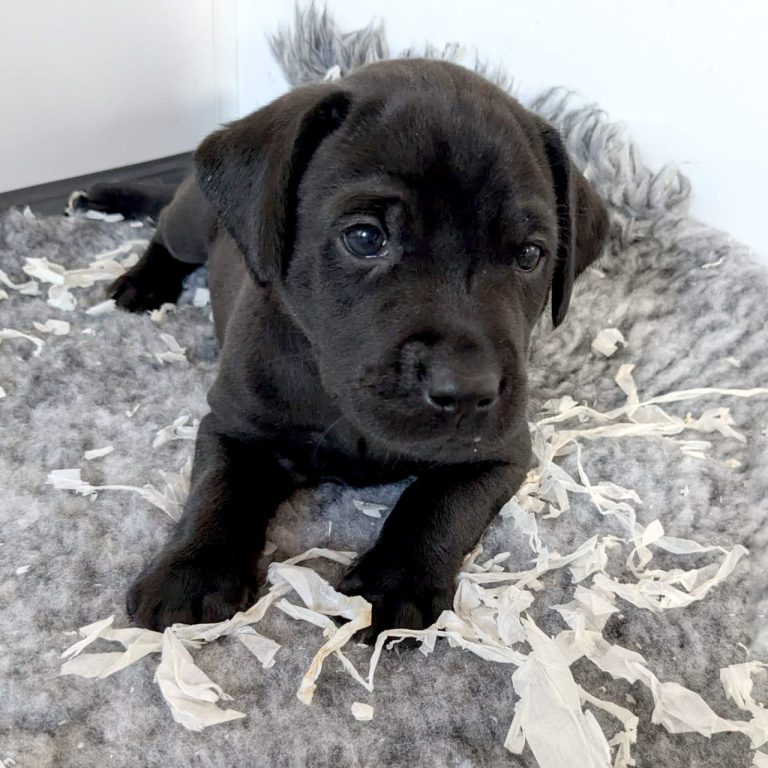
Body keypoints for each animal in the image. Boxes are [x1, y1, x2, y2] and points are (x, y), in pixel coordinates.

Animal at [84, 58, 608, 636]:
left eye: (530, 255)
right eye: (365, 238)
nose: (467, 391)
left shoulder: (498, 448)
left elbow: (439, 503)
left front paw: (394, 583)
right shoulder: (235, 424)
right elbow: (220, 491)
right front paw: (191, 573)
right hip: (189, 223)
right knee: (163, 231)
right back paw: (141, 276)